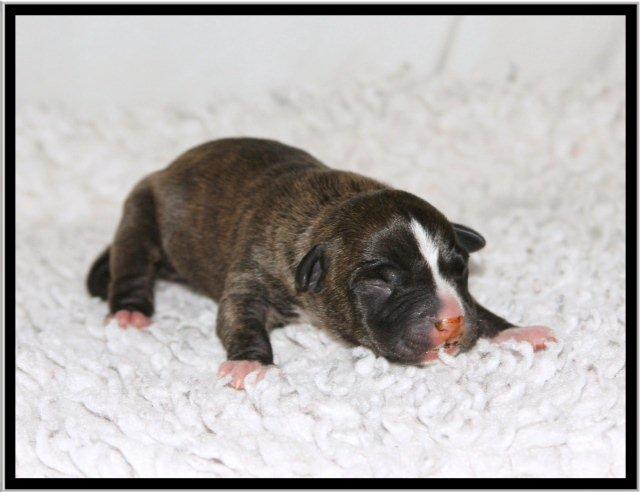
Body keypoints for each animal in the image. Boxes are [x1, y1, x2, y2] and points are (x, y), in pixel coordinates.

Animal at [87, 138, 557, 389]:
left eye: (459, 269)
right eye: (380, 284)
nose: (452, 321)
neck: (333, 209)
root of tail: (166, 169)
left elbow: (481, 309)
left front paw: (515, 330)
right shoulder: (252, 277)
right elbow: (239, 318)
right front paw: (249, 362)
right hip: (140, 212)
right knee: (131, 263)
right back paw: (129, 311)